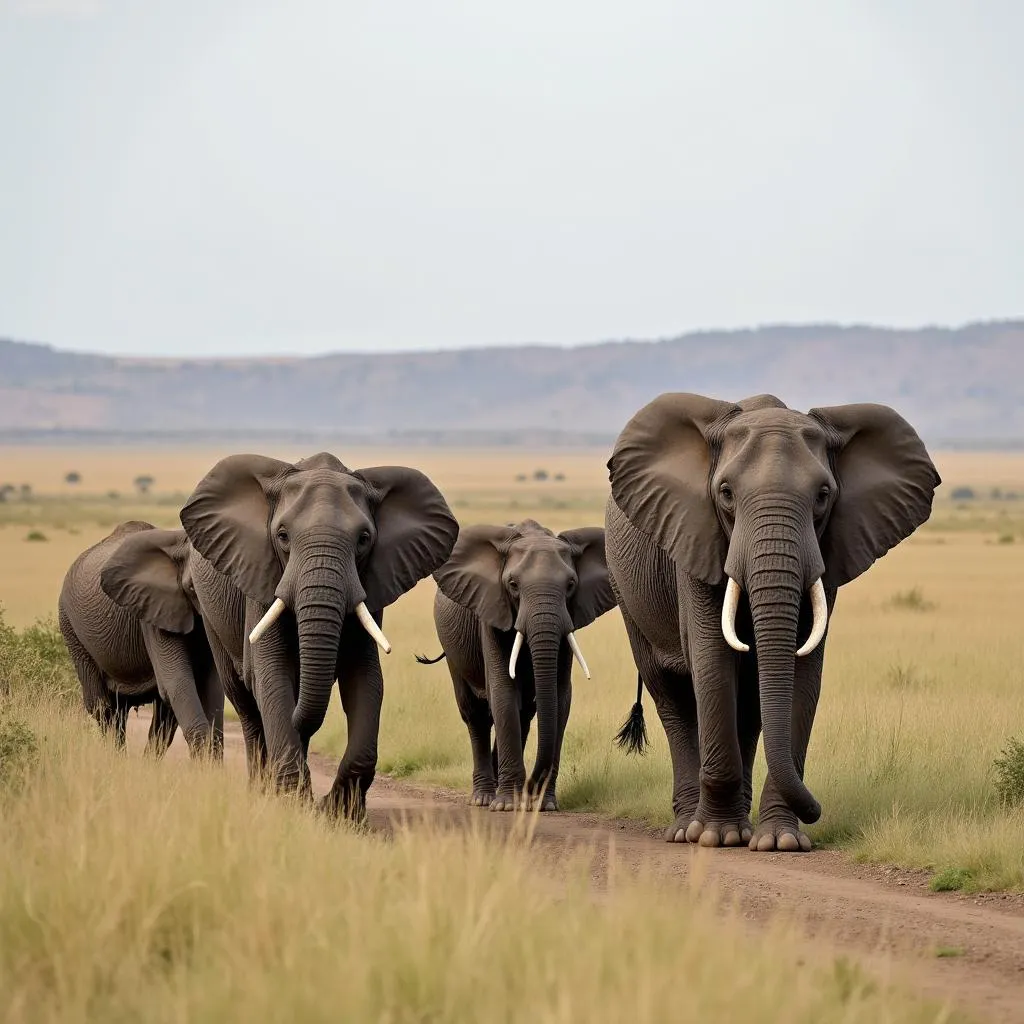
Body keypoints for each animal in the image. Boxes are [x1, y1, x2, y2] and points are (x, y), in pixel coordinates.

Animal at [58, 524, 224, 757]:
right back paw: (116, 759)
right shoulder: (152, 613)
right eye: (192, 588)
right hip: (70, 628)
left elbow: (211, 684)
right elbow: (178, 682)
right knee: (102, 707)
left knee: (153, 714)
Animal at [178, 452, 458, 819]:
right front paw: (291, 805)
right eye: (282, 536)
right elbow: (271, 674)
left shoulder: (370, 586)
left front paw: (339, 812)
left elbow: (365, 677)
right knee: (245, 702)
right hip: (211, 612)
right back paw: (261, 790)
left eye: (364, 539)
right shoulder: (262, 576)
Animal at [417, 524, 614, 811]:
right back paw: (484, 797)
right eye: (513, 585)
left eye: (571, 585)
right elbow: (503, 692)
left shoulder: (569, 620)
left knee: (523, 714)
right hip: (453, 649)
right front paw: (507, 806)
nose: (532, 790)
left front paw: (545, 806)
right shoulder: (491, 613)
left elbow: (559, 697)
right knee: (475, 714)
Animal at [602, 395, 937, 851]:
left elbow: (801, 672)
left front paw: (781, 842)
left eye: (823, 495)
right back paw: (687, 830)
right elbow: (712, 663)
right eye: (726, 493)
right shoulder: (694, 537)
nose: (816, 810)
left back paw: (742, 829)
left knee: (748, 705)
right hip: (625, 590)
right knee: (672, 697)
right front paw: (716, 837)